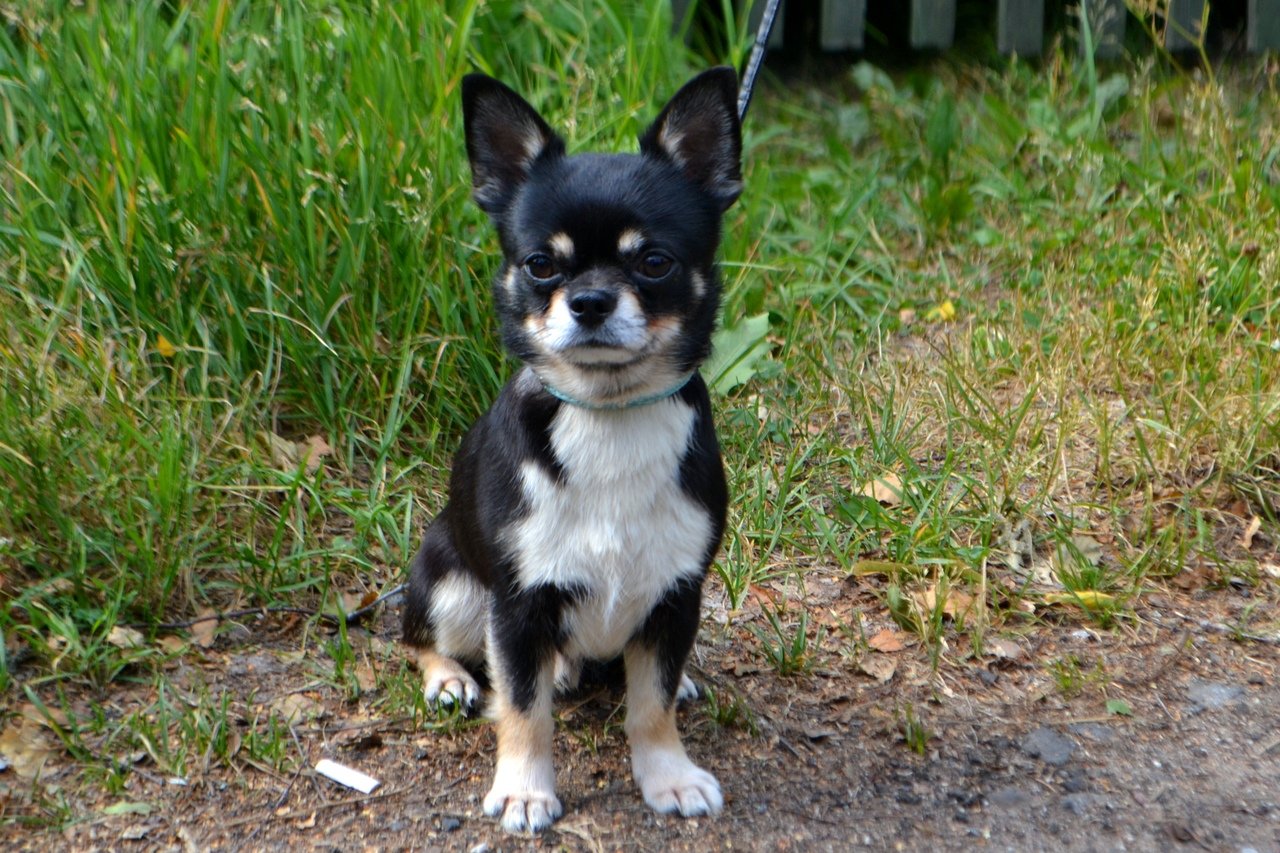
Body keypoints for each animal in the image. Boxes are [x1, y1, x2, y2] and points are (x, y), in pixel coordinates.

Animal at [399, 66, 742, 829]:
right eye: (539, 265)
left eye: (654, 262)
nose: (589, 300)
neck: (609, 415)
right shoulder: (518, 604)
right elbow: (524, 710)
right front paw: (525, 789)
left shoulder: (675, 595)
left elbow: (650, 702)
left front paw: (668, 774)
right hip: (449, 581)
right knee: (420, 640)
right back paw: (452, 678)